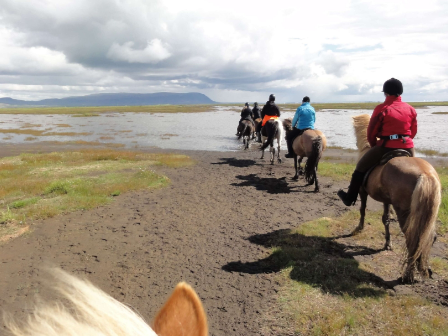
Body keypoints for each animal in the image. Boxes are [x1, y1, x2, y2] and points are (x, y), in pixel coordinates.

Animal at [350, 114, 440, 282]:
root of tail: (425, 174)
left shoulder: (362, 191)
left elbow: (362, 210)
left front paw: (359, 227)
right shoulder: (387, 200)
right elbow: (385, 219)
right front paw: (387, 243)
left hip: (404, 212)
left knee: (412, 239)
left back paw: (408, 275)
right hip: (427, 214)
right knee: (428, 237)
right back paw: (424, 267)